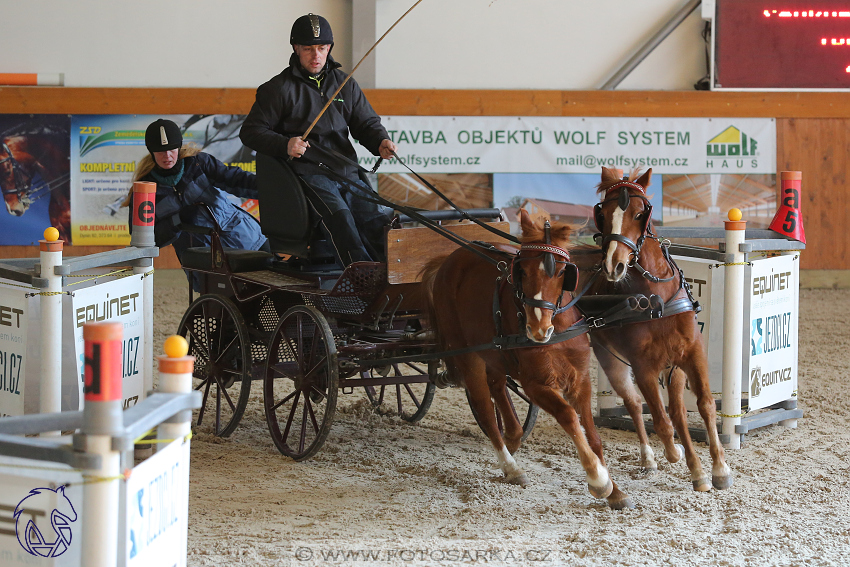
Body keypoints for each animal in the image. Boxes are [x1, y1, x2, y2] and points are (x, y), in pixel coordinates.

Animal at [420, 209, 632, 510]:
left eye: (562, 272)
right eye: (522, 271)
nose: (538, 329)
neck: (558, 330)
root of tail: (449, 260)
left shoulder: (581, 380)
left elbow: (593, 434)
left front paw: (615, 490)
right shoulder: (537, 384)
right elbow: (569, 416)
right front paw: (598, 479)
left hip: (494, 351)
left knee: (498, 387)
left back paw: (513, 436)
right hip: (467, 353)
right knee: (485, 408)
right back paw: (511, 466)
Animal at [584, 165, 728, 492]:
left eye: (641, 213)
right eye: (603, 213)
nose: (614, 265)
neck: (658, 300)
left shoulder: (692, 354)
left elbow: (705, 405)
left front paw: (718, 468)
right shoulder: (643, 366)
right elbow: (660, 422)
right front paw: (676, 454)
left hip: (673, 368)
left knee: (676, 411)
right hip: (611, 359)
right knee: (635, 405)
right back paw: (651, 458)